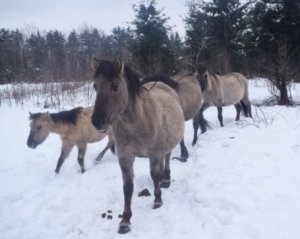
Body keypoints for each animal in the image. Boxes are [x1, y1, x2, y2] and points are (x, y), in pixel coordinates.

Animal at [91, 57, 185, 233]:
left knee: (167, 157)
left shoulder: (154, 153)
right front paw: (125, 221)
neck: (137, 121)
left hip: (167, 144)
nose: (97, 121)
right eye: (95, 86)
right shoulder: (125, 157)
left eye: (115, 86)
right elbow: (127, 187)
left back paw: (166, 179)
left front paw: (157, 200)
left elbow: (154, 175)